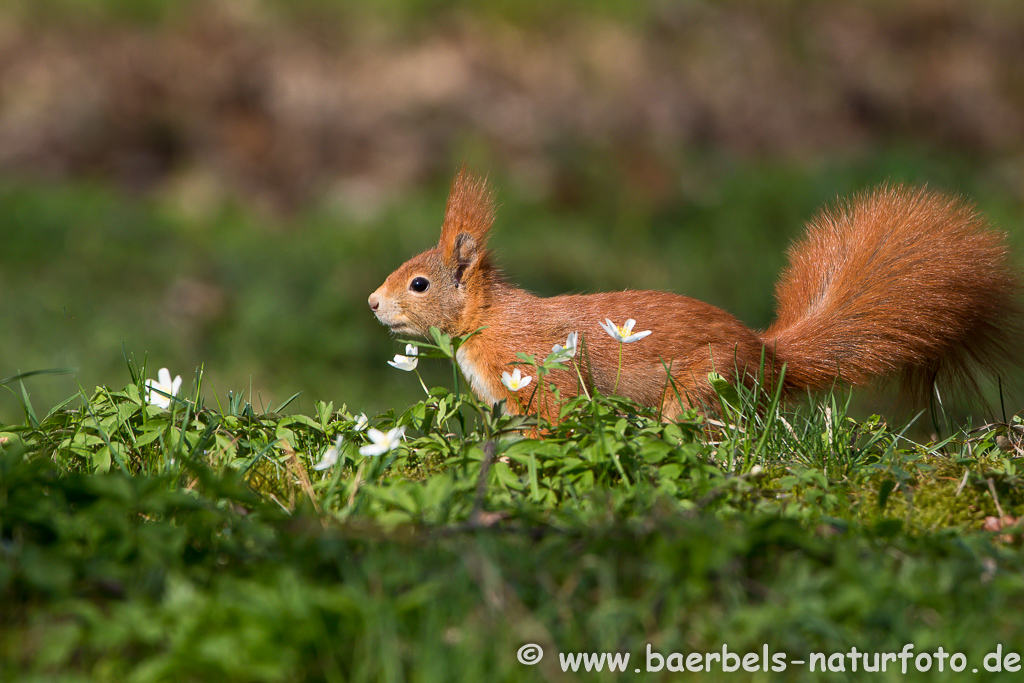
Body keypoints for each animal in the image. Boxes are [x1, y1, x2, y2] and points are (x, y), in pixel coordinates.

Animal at [366, 167, 1015, 419]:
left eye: (419, 284)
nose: (372, 303)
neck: (489, 320)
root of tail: (769, 357)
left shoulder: (538, 374)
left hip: (701, 390)